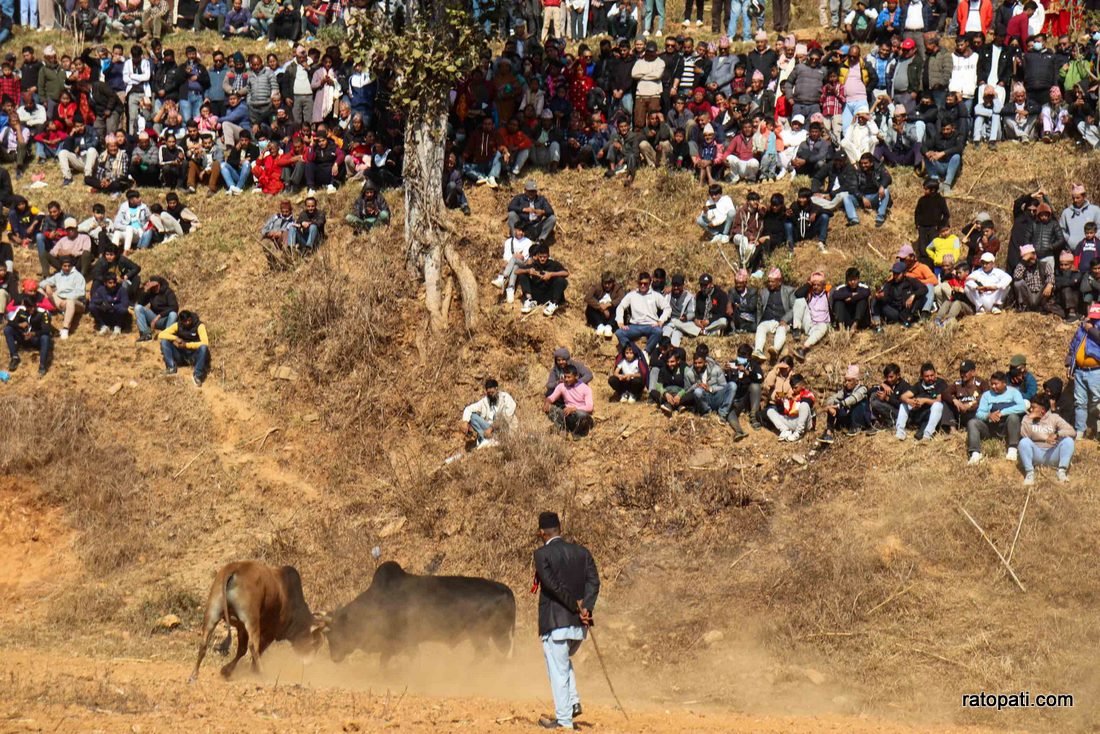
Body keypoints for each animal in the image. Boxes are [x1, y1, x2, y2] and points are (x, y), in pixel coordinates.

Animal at [191, 563, 325, 682]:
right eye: (315, 643)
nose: (310, 664)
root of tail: (234, 569)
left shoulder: (241, 628)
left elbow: (241, 650)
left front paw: (226, 671)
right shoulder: (270, 633)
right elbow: (256, 650)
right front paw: (252, 671)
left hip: (212, 612)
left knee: (203, 643)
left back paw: (194, 675)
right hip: (252, 620)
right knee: (253, 646)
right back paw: (263, 674)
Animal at [323, 563, 517, 664]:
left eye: (334, 634)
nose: (333, 657)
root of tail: (505, 590)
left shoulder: (402, 641)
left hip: (487, 635)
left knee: (489, 653)